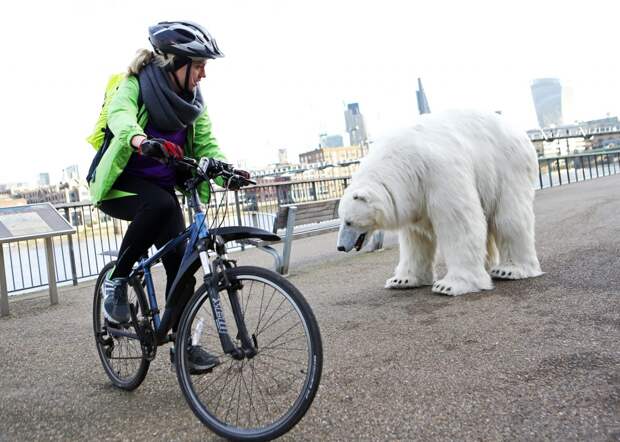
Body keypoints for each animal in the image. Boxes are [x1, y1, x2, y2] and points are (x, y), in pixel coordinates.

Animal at [336, 109, 544, 296]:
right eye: (341, 220)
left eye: (349, 221)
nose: (340, 247)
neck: (402, 162)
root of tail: (520, 133)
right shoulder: (414, 193)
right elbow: (416, 238)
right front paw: (402, 280)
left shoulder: (439, 173)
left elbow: (459, 223)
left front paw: (449, 286)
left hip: (507, 166)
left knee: (509, 217)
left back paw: (509, 270)